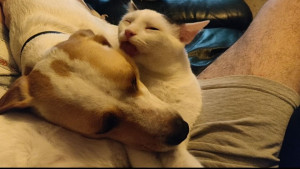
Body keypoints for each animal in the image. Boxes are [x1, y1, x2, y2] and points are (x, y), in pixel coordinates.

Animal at [118, 3, 210, 168]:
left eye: (152, 28)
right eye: (128, 21)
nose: (129, 31)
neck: (159, 78)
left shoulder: (182, 124)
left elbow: (179, 156)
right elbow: (145, 161)